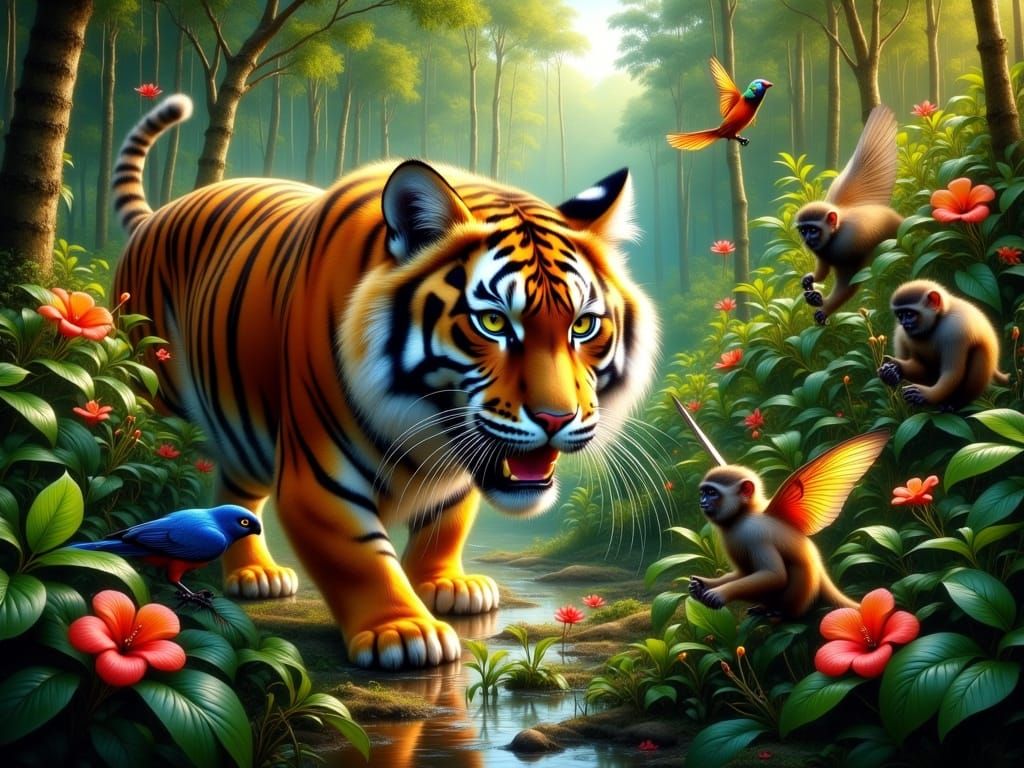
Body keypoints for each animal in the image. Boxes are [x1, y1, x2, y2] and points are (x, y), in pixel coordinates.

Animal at [112, 94, 658, 669]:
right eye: (493, 322)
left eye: (583, 326)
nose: (557, 418)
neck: (426, 427)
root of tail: (157, 215)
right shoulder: (317, 479)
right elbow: (360, 556)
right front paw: (403, 631)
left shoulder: (458, 473)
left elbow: (447, 524)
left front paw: (449, 585)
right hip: (152, 398)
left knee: (235, 494)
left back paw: (254, 572)